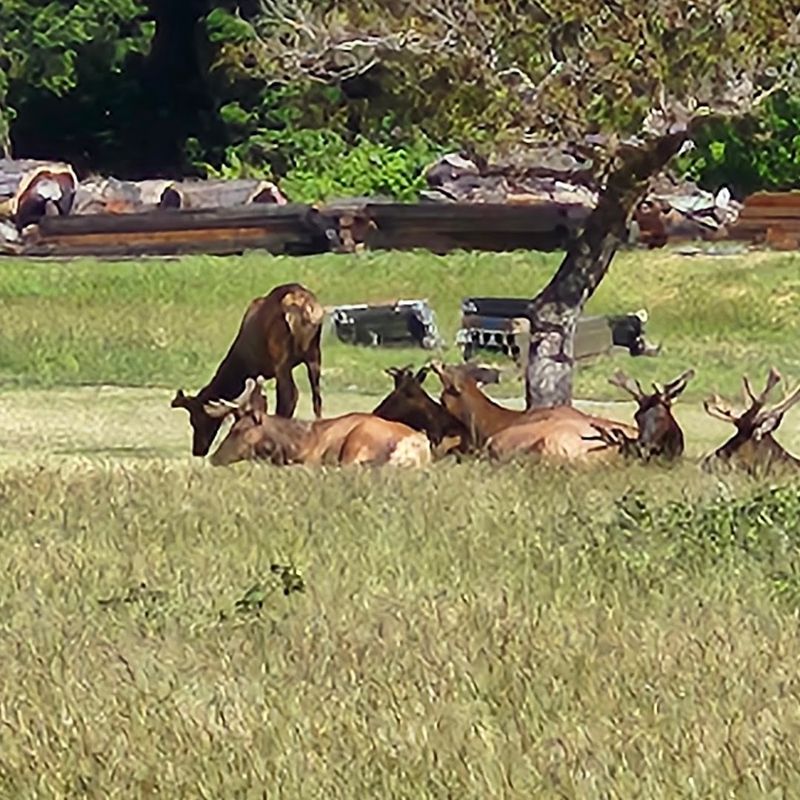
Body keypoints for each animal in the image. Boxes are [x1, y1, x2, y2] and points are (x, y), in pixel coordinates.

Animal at [171, 283, 324, 457]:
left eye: (196, 420)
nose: (197, 450)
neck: (241, 363)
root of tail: (305, 307)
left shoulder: (256, 372)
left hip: (281, 358)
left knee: (289, 396)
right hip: (314, 354)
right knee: (317, 398)